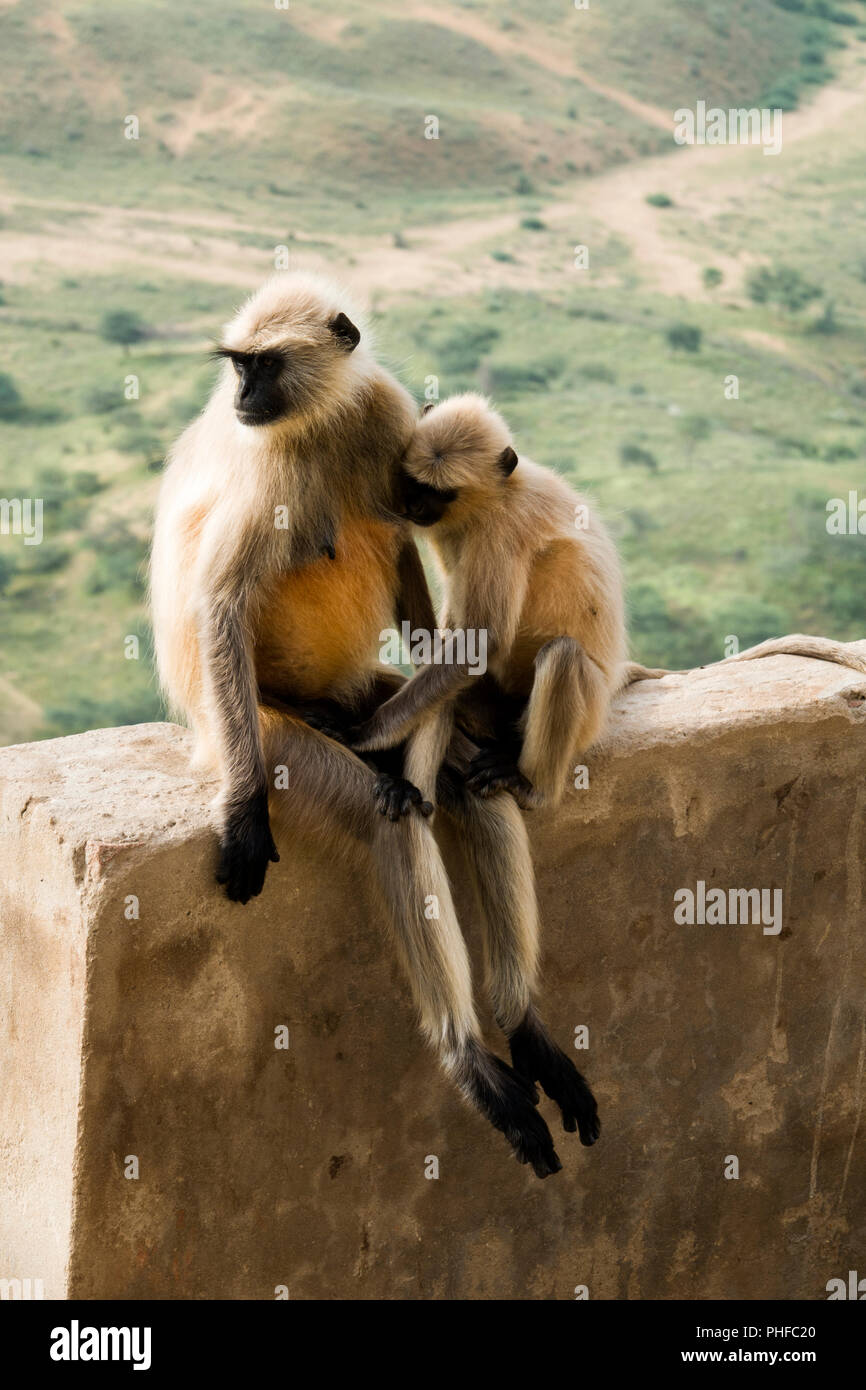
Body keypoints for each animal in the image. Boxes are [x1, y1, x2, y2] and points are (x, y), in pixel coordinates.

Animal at [151, 276, 587, 1179]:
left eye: (262, 366)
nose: (242, 396)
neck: (318, 422)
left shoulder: (383, 414)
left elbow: (405, 554)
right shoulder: (267, 457)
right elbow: (222, 601)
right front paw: (243, 814)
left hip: (362, 697)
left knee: (466, 788)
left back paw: (521, 1026)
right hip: (265, 731)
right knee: (385, 818)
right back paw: (470, 1062)